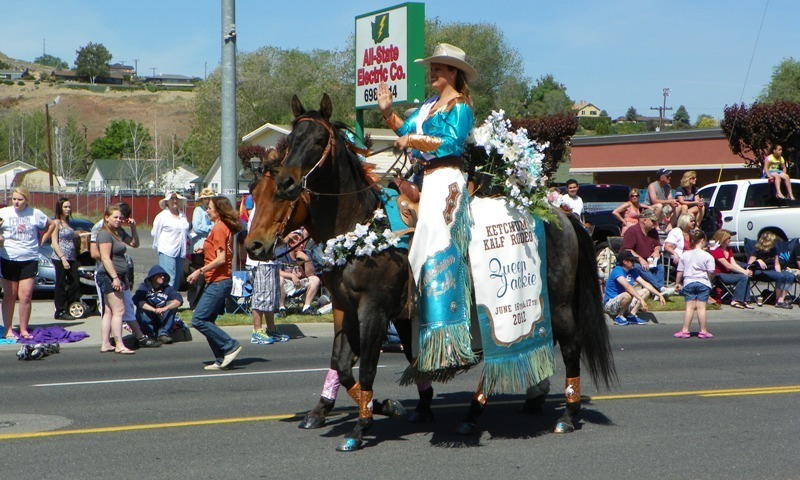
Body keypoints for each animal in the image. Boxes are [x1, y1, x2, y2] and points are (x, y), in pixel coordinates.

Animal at [245, 93, 620, 450]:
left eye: (319, 140)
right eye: (291, 140)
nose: (254, 246)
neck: (360, 224)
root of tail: (560, 213)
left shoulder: (374, 310)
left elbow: (367, 367)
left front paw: (360, 428)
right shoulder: (347, 307)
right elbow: (343, 364)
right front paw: (382, 406)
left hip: (557, 301)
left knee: (569, 346)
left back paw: (565, 415)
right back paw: (499, 406)